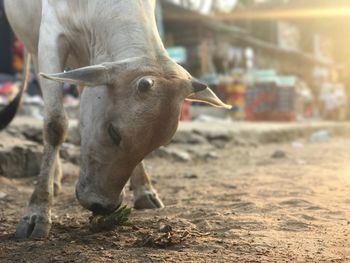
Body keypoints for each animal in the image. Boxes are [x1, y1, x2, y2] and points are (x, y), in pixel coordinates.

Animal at [2, 0, 231, 240]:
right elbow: (55, 125)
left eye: (158, 145)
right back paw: (53, 180)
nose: (102, 206)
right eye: (113, 132)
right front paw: (36, 213)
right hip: (35, 49)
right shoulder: (50, 36)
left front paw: (144, 190)